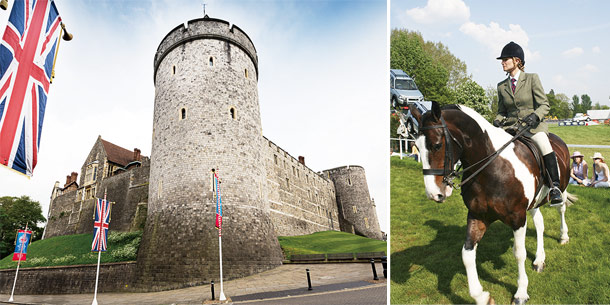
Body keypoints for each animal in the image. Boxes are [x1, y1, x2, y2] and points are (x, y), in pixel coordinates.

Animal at [408, 102, 576, 304]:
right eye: (416, 146)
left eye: (437, 145)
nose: (434, 194)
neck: (490, 167)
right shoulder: (478, 216)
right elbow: (467, 254)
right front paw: (481, 296)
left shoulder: (518, 218)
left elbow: (519, 253)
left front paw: (521, 293)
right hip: (534, 202)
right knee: (540, 223)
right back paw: (539, 260)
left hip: (561, 189)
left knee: (561, 209)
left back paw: (563, 236)